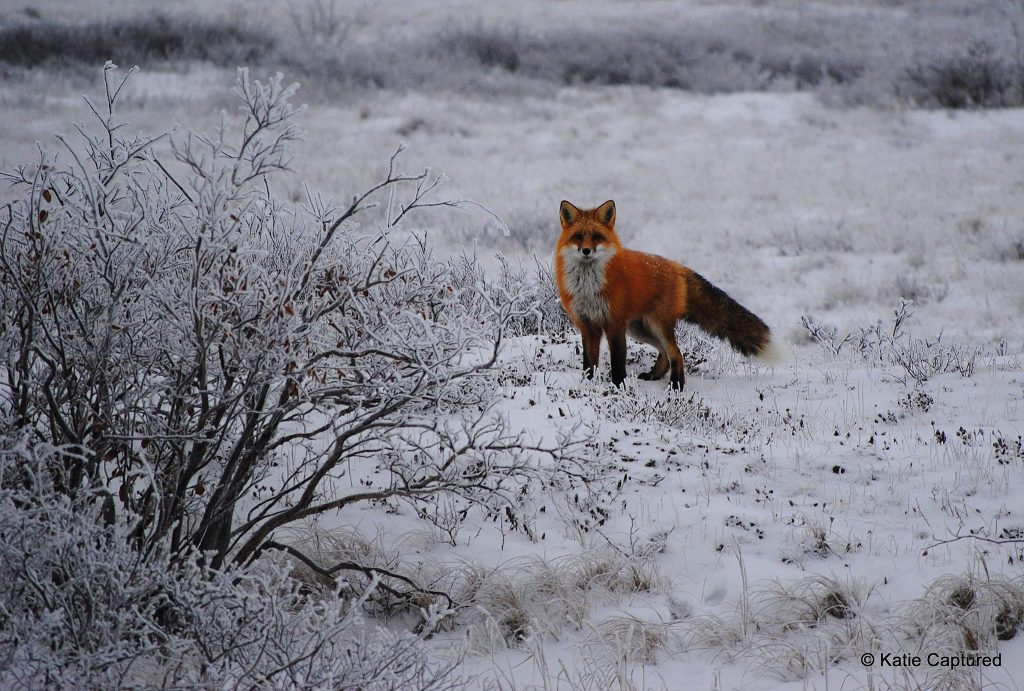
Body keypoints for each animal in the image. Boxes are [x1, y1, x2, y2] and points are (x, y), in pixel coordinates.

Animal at [555, 199, 779, 390]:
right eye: (578, 237)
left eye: (596, 237)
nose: (586, 251)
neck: (588, 286)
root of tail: (678, 267)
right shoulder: (587, 325)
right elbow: (588, 363)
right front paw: (588, 384)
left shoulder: (614, 324)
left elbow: (618, 363)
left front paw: (619, 387)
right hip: (640, 329)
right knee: (665, 353)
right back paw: (654, 376)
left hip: (655, 325)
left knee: (677, 353)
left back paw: (676, 387)